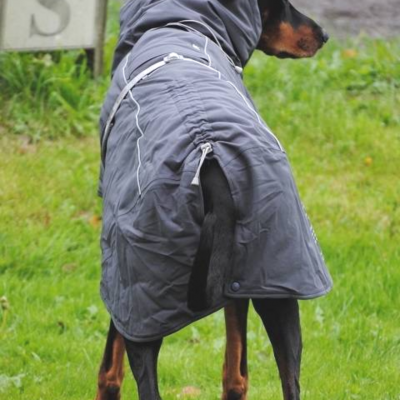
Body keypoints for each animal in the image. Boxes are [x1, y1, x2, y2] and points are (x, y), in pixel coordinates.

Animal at [95, 1, 332, 399]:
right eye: (282, 6)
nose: (324, 35)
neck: (183, 24)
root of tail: (210, 157)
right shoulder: (237, 280)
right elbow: (236, 371)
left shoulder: (121, 280)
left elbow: (109, 368)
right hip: (277, 283)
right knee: (281, 381)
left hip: (142, 299)